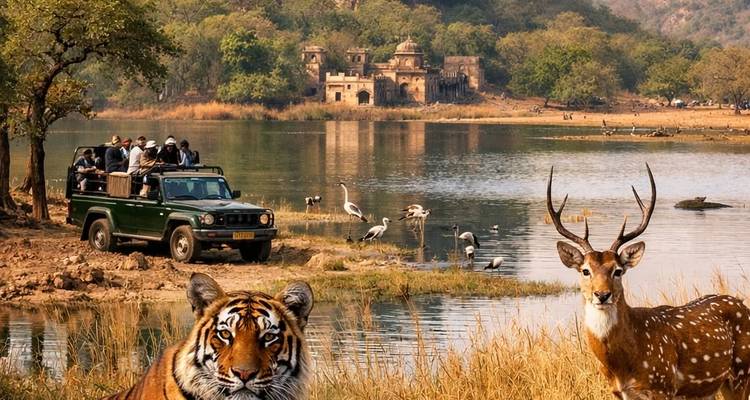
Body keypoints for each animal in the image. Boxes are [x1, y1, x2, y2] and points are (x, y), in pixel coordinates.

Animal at [547, 164, 750, 399]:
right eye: (585, 270)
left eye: (618, 271)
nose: (602, 294)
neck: (622, 366)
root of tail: (743, 305)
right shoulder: (618, 392)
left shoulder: (663, 384)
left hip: (741, 372)